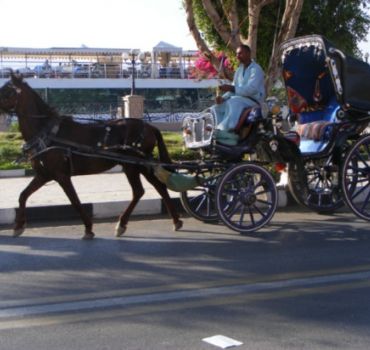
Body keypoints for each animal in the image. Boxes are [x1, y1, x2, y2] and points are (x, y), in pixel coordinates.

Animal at [0, 72, 182, 239]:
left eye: (7, 91)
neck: (47, 133)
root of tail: (149, 126)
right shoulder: (44, 174)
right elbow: (23, 195)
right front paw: (18, 226)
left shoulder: (61, 175)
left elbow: (75, 200)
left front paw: (88, 228)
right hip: (138, 165)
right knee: (155, 187)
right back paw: (174, 221)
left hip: (133, 165)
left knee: (142, 190)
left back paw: (123, 224)